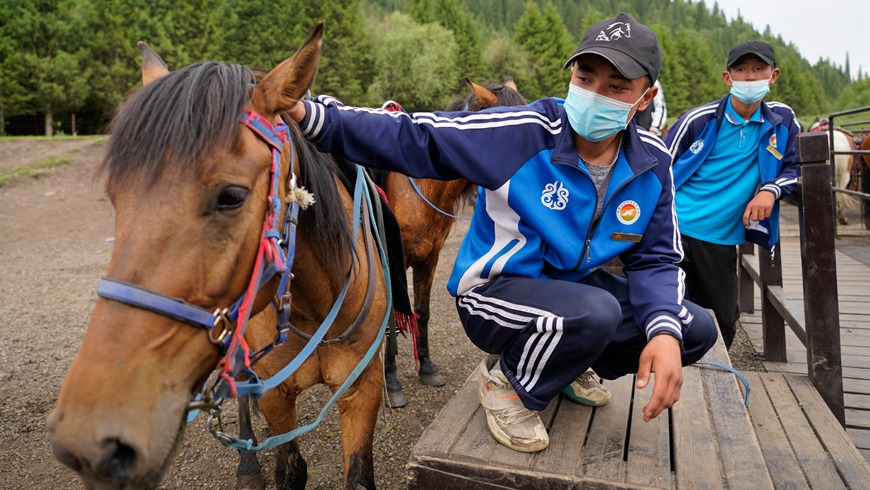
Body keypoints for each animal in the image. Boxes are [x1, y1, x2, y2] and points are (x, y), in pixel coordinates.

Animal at [46, 23, 388, 490]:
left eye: (231, 196)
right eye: (116, 197)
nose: (89, 435)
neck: (315, 307)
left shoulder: (362, 388)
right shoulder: (276, 395)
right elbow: (289, 467)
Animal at [384, 78, 532, 406]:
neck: (419, 186)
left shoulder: (429, 258)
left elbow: (421, 312)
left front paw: (426, 367)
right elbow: (391, 320)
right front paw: (391, 381)